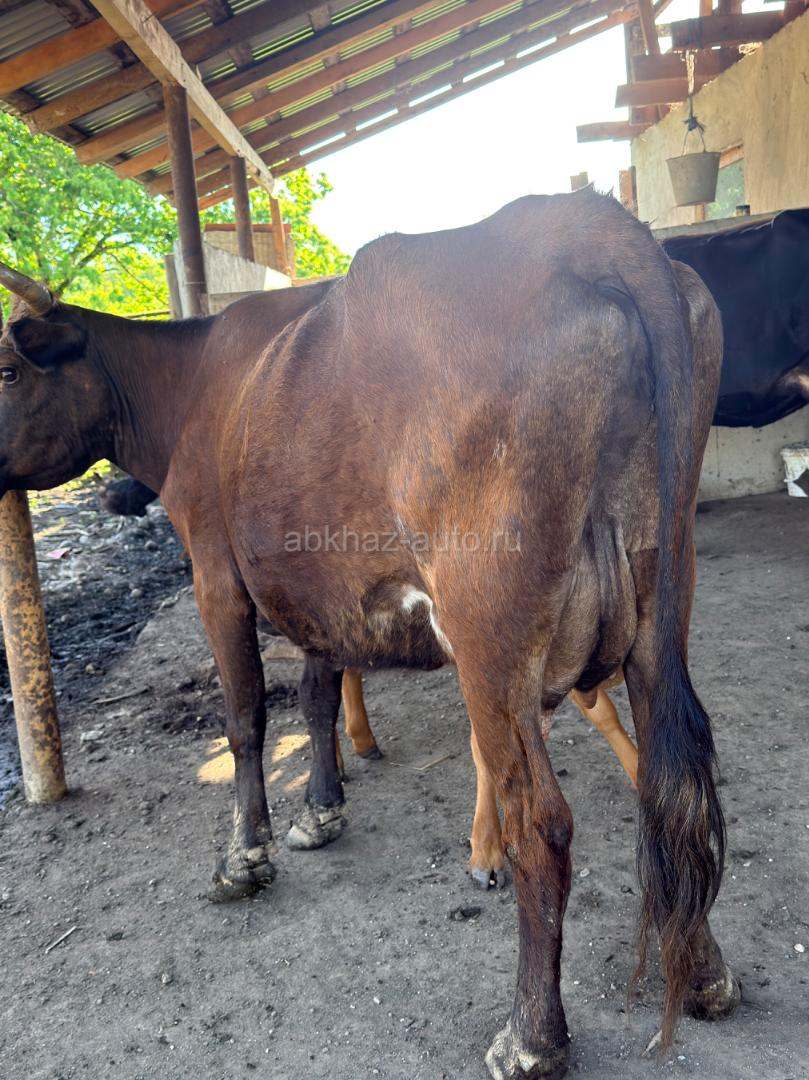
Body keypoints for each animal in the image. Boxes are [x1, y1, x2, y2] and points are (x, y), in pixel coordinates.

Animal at [0, 191, 739, 1077]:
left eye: (6, 371)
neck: (190, 387)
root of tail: (573, 221)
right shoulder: (314, 584)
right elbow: (318, 692)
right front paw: (321, 810)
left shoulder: (216, 574)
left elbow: (245, 718)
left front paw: (244, 856)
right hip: (661, 601)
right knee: (672, 781)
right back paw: (701, 974)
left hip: (491, 631)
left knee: (541, 821)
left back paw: (530, 1035)